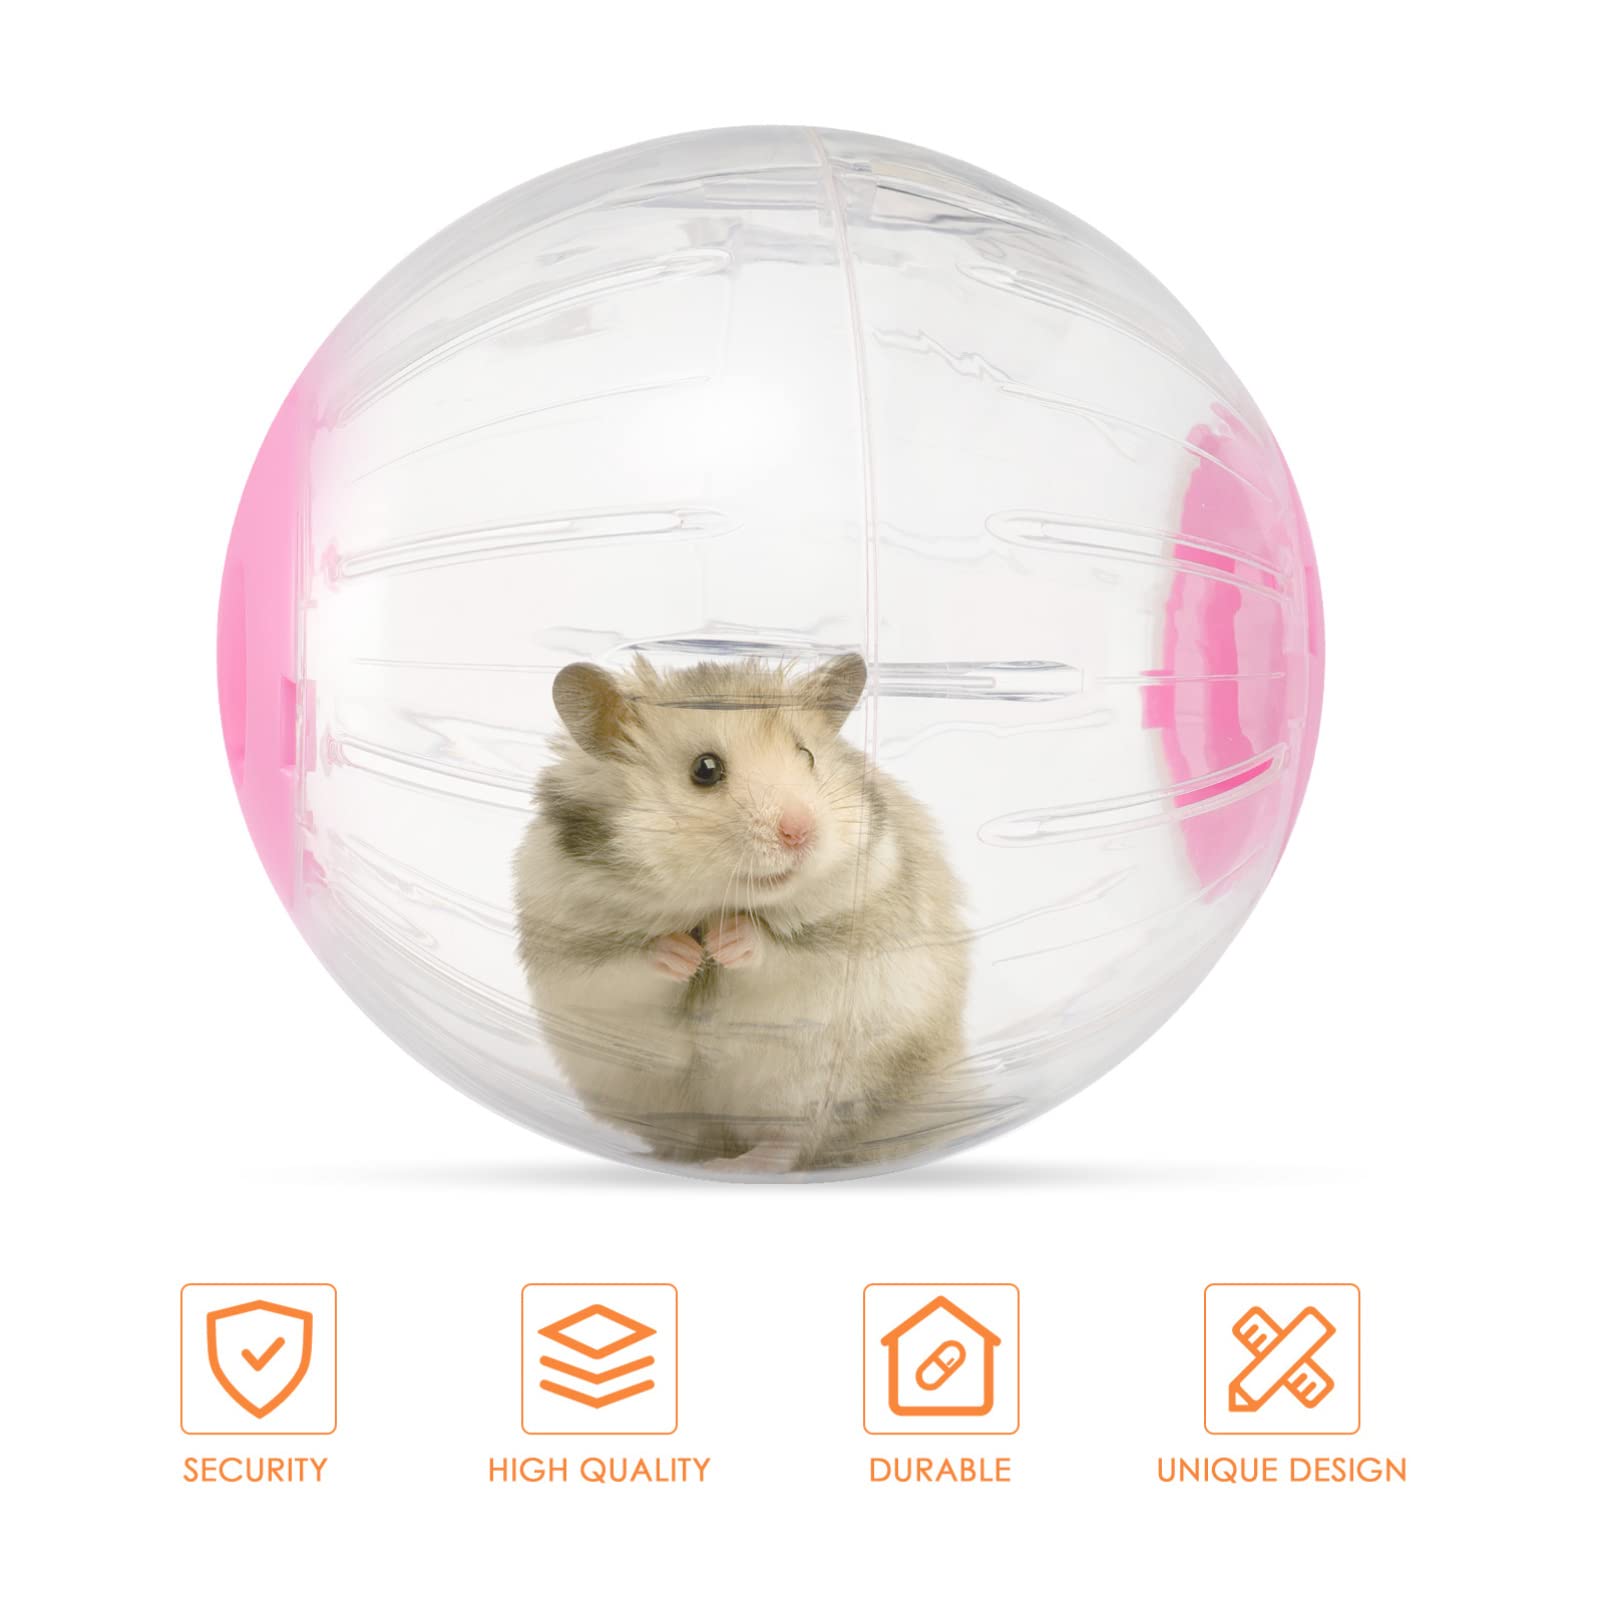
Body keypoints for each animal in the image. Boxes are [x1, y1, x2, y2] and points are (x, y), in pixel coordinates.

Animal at [512, 652, 970, 1174]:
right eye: (705, 769)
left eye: (808, 756)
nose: (800, 831)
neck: (712, 901)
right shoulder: (570, 947)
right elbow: (627, 967)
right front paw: (686, 953)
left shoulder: (850, 935)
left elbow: (778, 952)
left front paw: (725, 940)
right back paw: (690, 1158)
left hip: (821, 1087)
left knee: (795, 1142)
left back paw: (739, 1164)